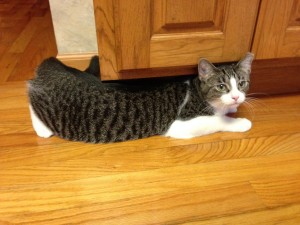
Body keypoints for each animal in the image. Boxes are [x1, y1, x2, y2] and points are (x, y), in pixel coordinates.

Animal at [27, 53, 253, 142]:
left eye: (241, 84)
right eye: (221, 86)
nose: (235, 97)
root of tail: (54, 66)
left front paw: (233, 107)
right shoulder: (181, 125)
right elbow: (217, 120)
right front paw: (239, 121)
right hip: (47, 104)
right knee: (29, 90)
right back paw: (42, 130)